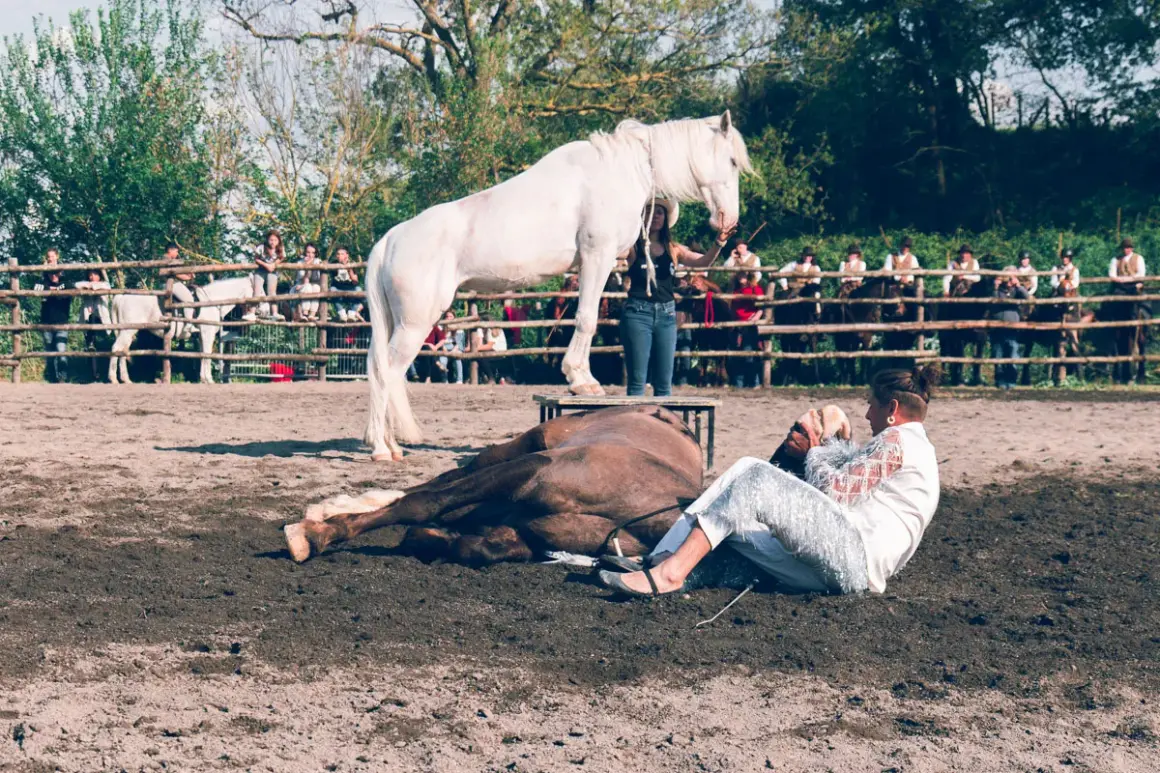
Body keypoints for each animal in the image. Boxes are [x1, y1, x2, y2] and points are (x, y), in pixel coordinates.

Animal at [284, 406, 703, 565]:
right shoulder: (532, 470)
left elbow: (475, 547)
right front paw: (317, 536)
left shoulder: (524, 531)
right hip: (523, 447)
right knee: (442, 483)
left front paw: (432, 539)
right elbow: (423, 504)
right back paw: (327, 512)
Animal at [363, 114, 752, 461]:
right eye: (732, 161)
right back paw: (381, 450)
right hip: (415, 324)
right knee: (386, 372)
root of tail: (390, 240)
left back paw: (392, 446)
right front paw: (582, 380)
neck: (621, 171)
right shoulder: (597, 255)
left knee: (383, 370)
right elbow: (586, 319)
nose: (728, 223)